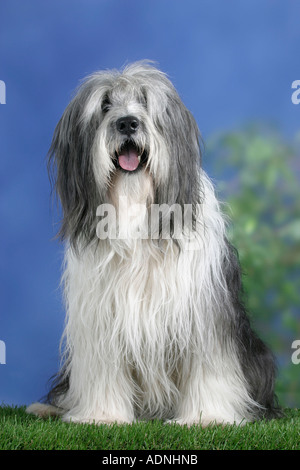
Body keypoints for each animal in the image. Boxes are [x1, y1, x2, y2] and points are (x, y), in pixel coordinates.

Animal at [26, 60, 282, 424]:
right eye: (105, 105)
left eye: (145, 102)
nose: (127, 122)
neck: (137, 214)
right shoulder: (102, 318)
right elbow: (104, 370)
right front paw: (102, 415)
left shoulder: (202, 315)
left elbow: (208, 367)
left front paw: (206, 416)